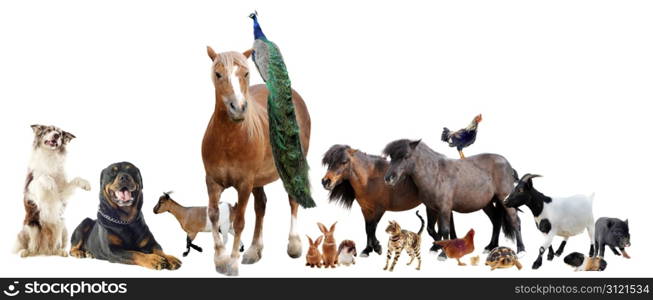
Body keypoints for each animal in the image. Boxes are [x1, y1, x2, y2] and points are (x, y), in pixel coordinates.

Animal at [201, 47, 310, 276]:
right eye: (218, 74)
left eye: (245, 73)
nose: (238, 108)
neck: (229, 139)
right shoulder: (212, 181)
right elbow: (213, 215)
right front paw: (220, 259)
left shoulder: (244, 184)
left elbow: (240, 222)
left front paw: (232, 263)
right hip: (257, 180)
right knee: (261, 206)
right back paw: (254, 250)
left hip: (291, 169)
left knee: (292, 200)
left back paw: (294, 244)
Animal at [318, 145, 456, 255]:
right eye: (329, 162)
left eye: (344, 161)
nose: (325, 181)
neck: (370, 179)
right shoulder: (366, 210)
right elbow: (367, 228)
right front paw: (368, 249)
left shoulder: (380, 209)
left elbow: (373, 227)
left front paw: (377, 247)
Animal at [382, 139, 524, 256]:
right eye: (392, 157)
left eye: (406, 156)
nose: (388, 178)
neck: (436, 174)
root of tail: (507, 164)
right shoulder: (431, 208)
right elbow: (431, 229)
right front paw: (437, 248)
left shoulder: (444, 208)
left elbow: (444, 230)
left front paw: (443, 253)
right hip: (487, 203)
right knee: (496, 220)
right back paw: (490, 247)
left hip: (504, 199)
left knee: (515, 221)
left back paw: (521, 250)